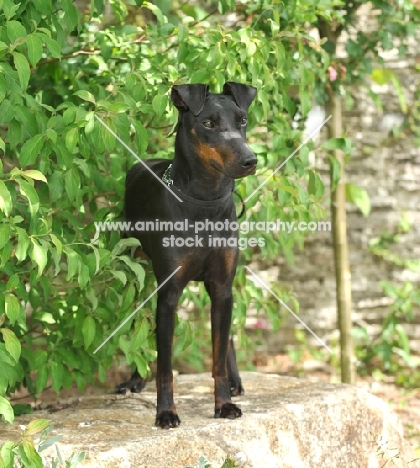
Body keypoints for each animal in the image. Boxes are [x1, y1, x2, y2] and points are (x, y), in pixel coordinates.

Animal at [118, 83, 256, 428]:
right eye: (208, 123)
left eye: (243, 119)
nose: (251, 160)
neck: (205, 201)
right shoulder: (168, 294)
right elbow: (165, 367)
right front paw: (166, 413)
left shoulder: (221, 286)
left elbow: (217, 357)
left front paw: (224, 404)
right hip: (134, 275)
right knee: (137, 325)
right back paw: (135, 380)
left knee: (227, 336)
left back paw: (235, 384)